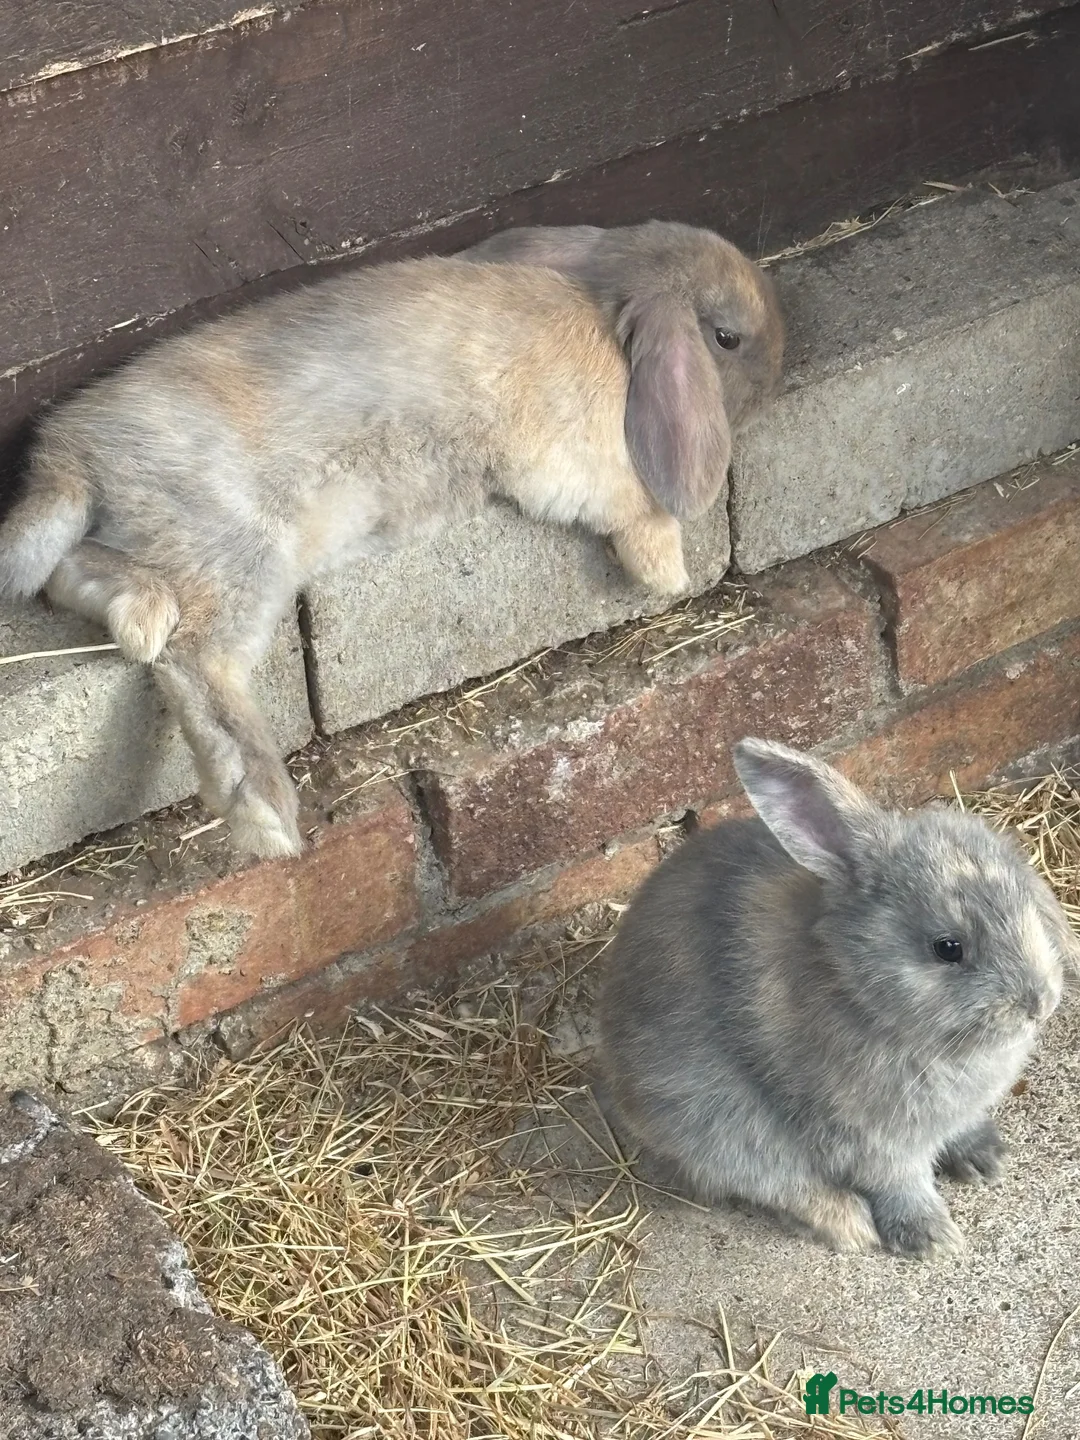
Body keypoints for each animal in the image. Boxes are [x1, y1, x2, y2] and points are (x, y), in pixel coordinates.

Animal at [0, 224, 783, 861]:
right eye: (727, 338)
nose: (780, 366)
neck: (603, 313)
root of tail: (72, 460)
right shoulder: (569, 462)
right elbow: (635, 506)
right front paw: (668, 571)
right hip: (239, 552)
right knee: (198, 663)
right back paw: (265, 813)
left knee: (80, 582)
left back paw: (138, 614)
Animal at [597, 738, 1077, 1256]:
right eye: (948, 948)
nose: (1039, 1003)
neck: (854, 984)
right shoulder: (869, 1139)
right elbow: (899, 1183)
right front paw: (932, 1238)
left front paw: (987, 1159)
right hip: (719, 1127)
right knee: (780, 1187)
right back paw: (851, 1225)